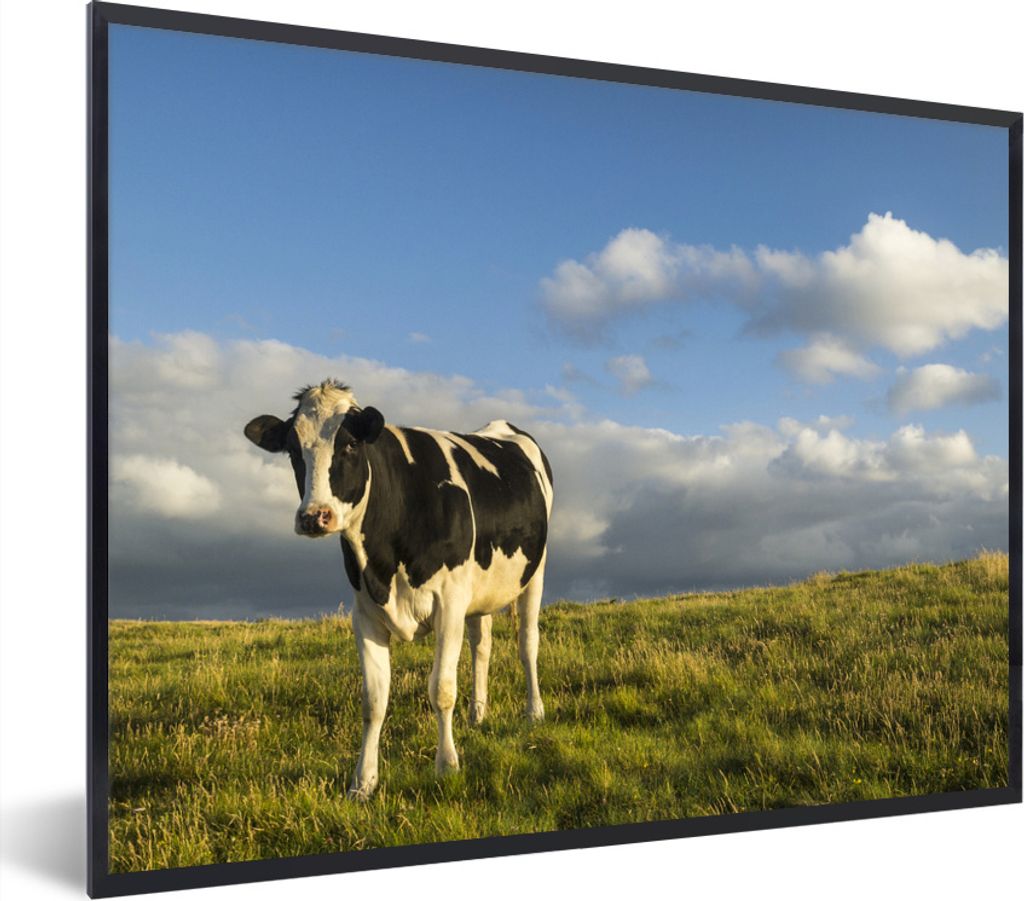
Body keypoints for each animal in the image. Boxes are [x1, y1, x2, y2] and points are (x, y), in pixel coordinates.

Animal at [244, 379, 553, 799]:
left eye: (350, 445)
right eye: (293, 450)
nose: (314, 516)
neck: (383, 562)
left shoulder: (449, 605)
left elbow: (441, 689)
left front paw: (447, 766)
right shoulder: (365, 614)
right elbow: (373, 700)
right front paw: (363, 782)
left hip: (535, 572)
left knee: (527, 642)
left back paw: (533, 711)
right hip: (481, 590)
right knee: (482, 645)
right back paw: (478, 713)